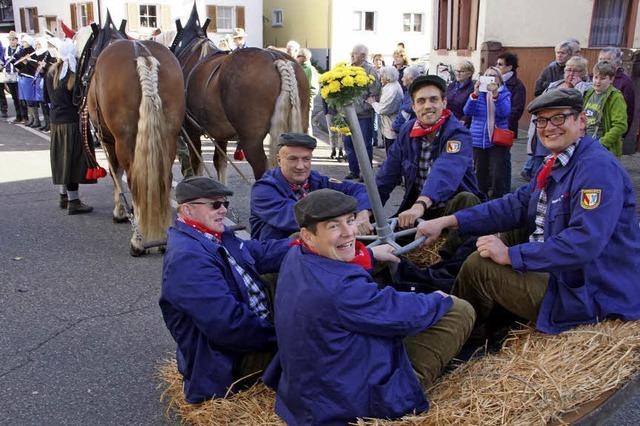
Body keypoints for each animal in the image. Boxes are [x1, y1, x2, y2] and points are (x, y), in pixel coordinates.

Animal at [86, 39, 185, 253]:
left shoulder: (108, 139)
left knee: (134, 180)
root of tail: (143, 56)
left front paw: (120, 212)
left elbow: (115, 173)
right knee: (164, 179)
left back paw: (138, 240)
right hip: (169, 137)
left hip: (124, 139)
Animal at [171, 11, 308, 181]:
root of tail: (276, 58)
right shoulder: (220, 134)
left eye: (175, 41)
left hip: (252, 141)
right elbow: (220, 162)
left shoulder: (192, 131)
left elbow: (197, 164)